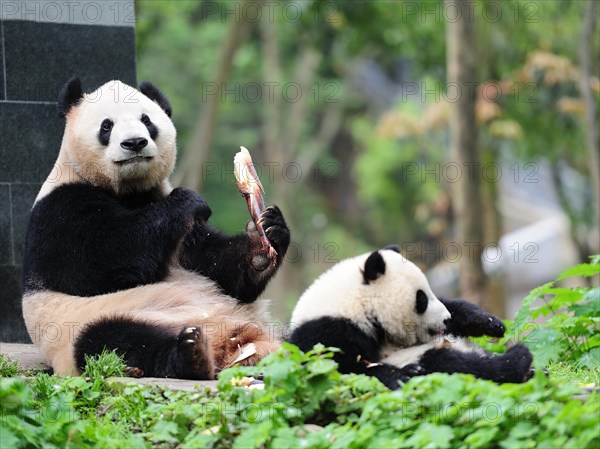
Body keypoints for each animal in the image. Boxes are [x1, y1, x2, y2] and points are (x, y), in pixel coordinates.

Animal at [21, 77, 288, 378]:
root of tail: (231, 344)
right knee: (115, 341)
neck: (129, 191)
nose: (135, 142)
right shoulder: (60, 210)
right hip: (85, 324)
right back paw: (190, 354)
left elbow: (219, 267)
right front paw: (189, 200)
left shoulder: (172, 217)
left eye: (146, 120)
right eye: (106, 126)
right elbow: (99, 263)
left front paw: (266, 237)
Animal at [290, 247, 536, 386]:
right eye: (421, 299)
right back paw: (517, 361)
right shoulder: (326, 333)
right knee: (456, 365)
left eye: (430, 292)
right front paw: (401, 375)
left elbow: (455, 306)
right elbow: (342, 370)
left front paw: (489, 323)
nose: (446, 320)